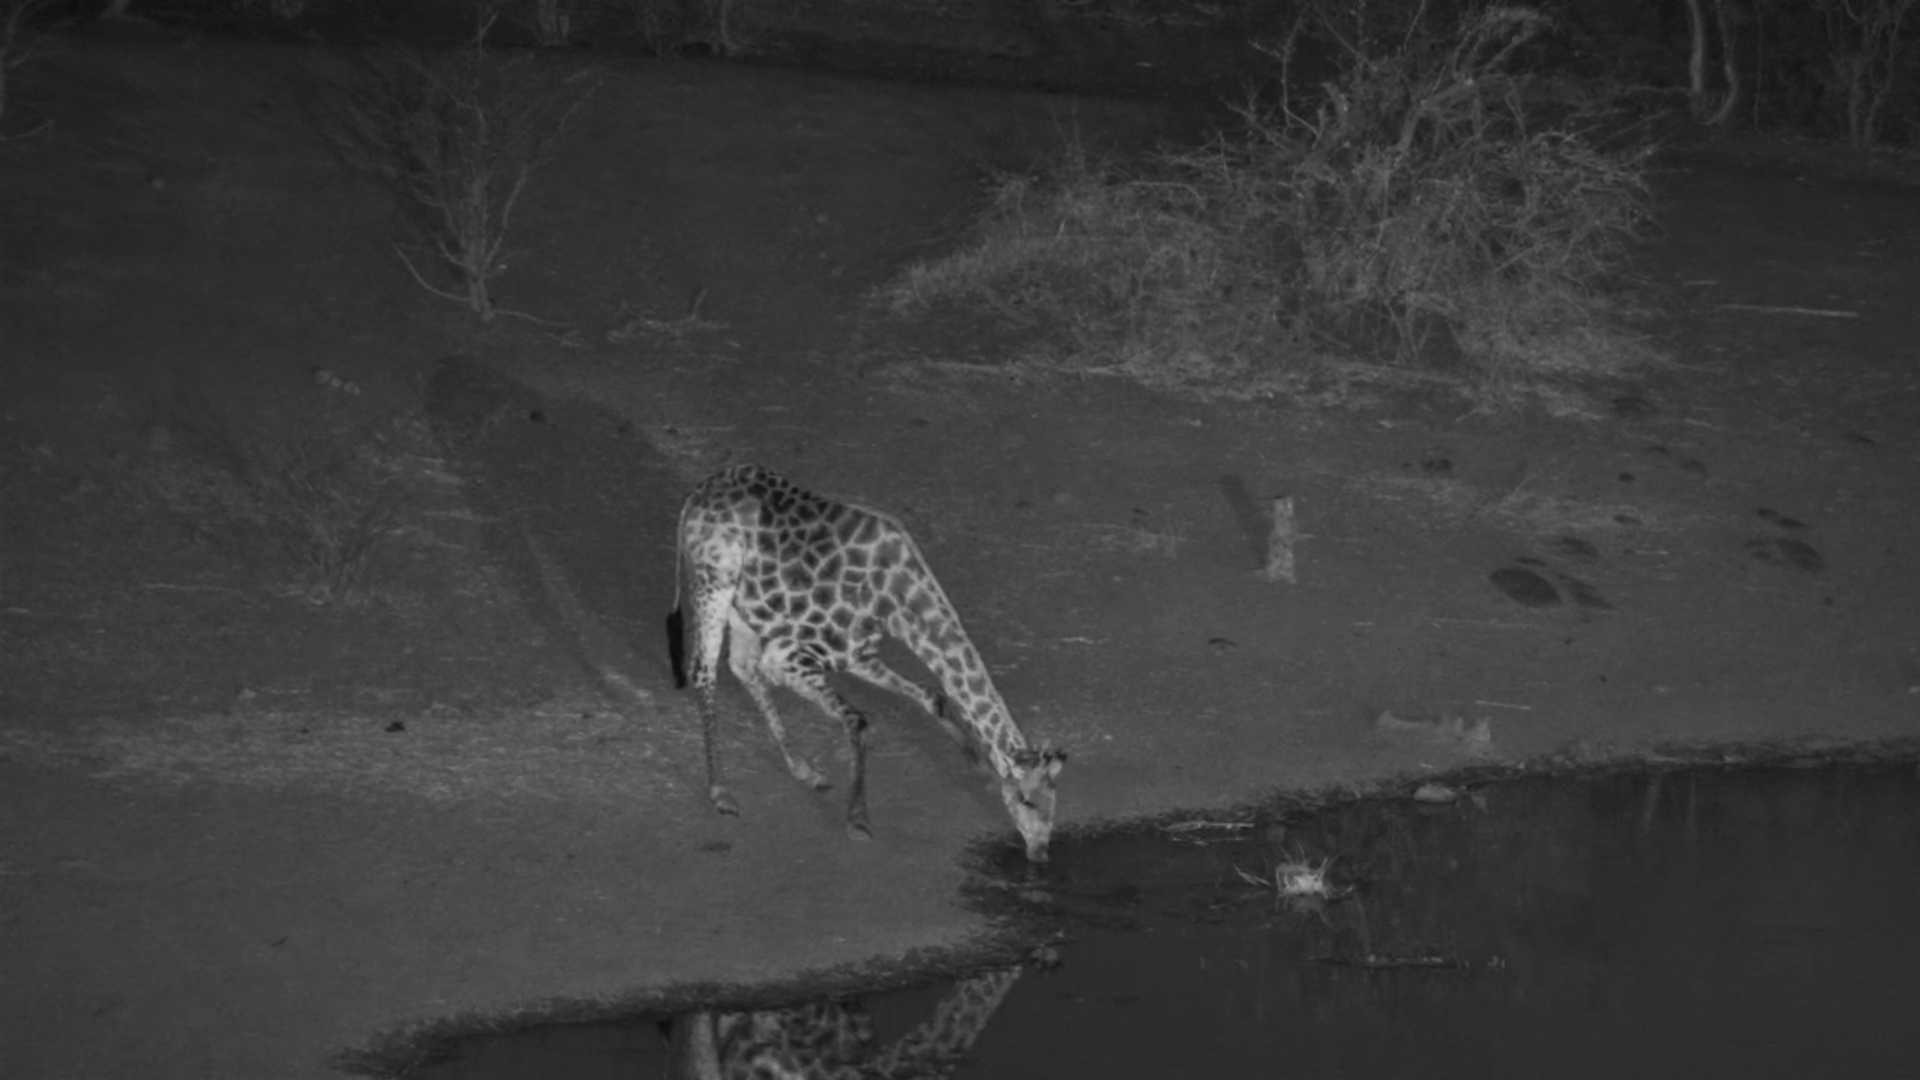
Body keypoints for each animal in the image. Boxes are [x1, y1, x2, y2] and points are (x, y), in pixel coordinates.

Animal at [669, 464, 1066, 862]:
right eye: (1025, 800)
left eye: (1055, 804)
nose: (1040, 851)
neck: (898, 600)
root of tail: (696, 495)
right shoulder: (787, 657)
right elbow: (858, 719)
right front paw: (858, 822)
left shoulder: (856, 653)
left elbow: (932, 695)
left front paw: (980, 769)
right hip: (714, 580)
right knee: (703, 669)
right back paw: (721, 792)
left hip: (745, 606)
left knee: (740, 665)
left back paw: (803, 769)